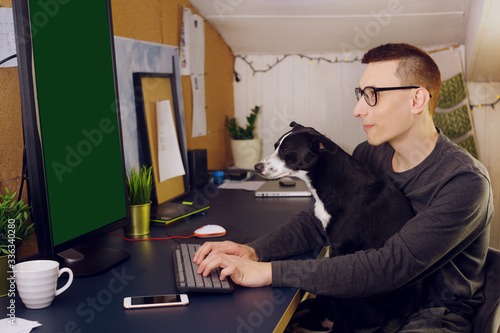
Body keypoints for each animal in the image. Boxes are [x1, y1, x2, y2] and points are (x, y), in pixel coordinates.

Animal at [254, 122, 422, 332]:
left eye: (286, 150)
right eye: (276, 146)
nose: (256, 167)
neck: (331, 177)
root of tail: (401, 315)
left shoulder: (339, 249)